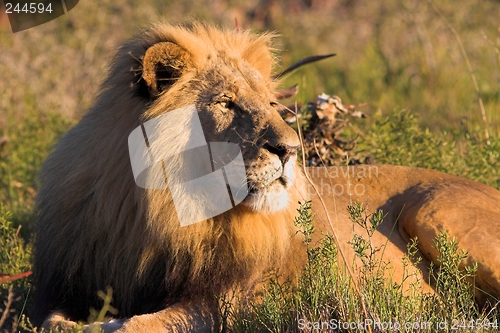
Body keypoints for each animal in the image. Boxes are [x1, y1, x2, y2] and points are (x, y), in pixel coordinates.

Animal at [34, 22, 500, 330]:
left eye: (273, 104)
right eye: (226, 103)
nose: (290, 150)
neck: (160, 212)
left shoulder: (230, 302)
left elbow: (139, 325)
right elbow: (53, 319)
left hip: (441, 215)